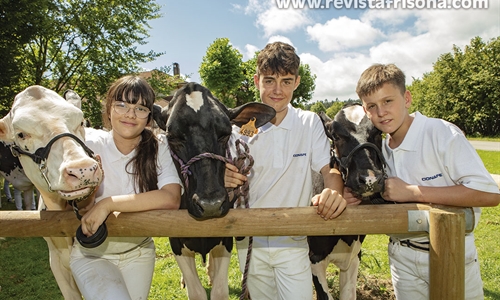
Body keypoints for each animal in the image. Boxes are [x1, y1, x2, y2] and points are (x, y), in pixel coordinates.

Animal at [154, 82, 276, 300]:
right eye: (172, 137)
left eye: (225, 133)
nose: (210, 205)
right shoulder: (175, 240)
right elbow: (196, 292)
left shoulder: (226, 237)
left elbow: (220, 291)